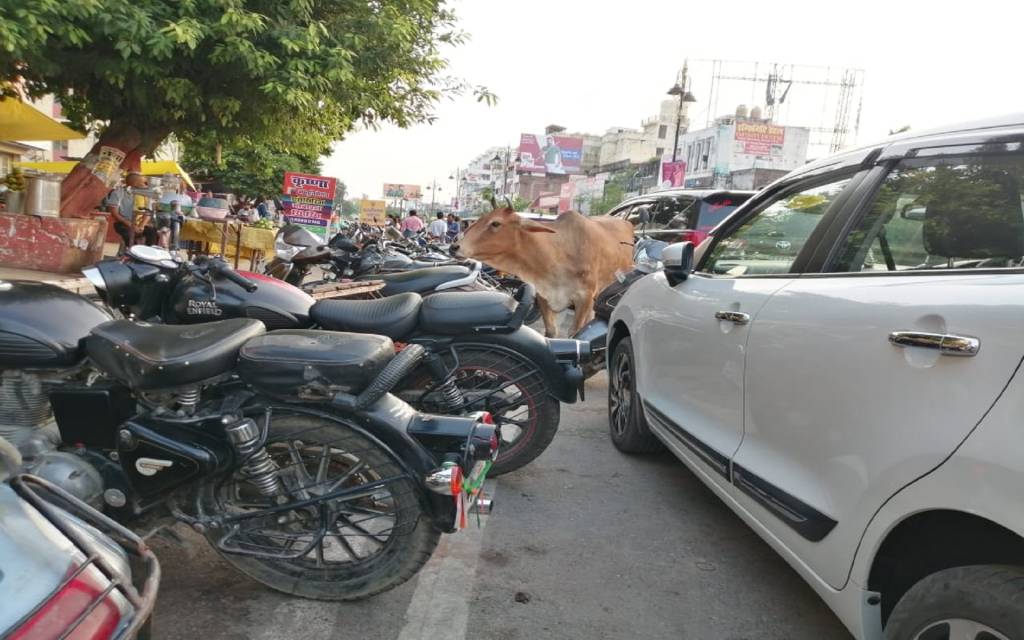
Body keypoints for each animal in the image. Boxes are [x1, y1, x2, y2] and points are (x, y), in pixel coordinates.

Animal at [454, 209, 630, 339]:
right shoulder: (543, 295)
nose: (454, 246)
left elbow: (575, 333)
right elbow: (551, 332)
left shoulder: (584, 297)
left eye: (495, 223)